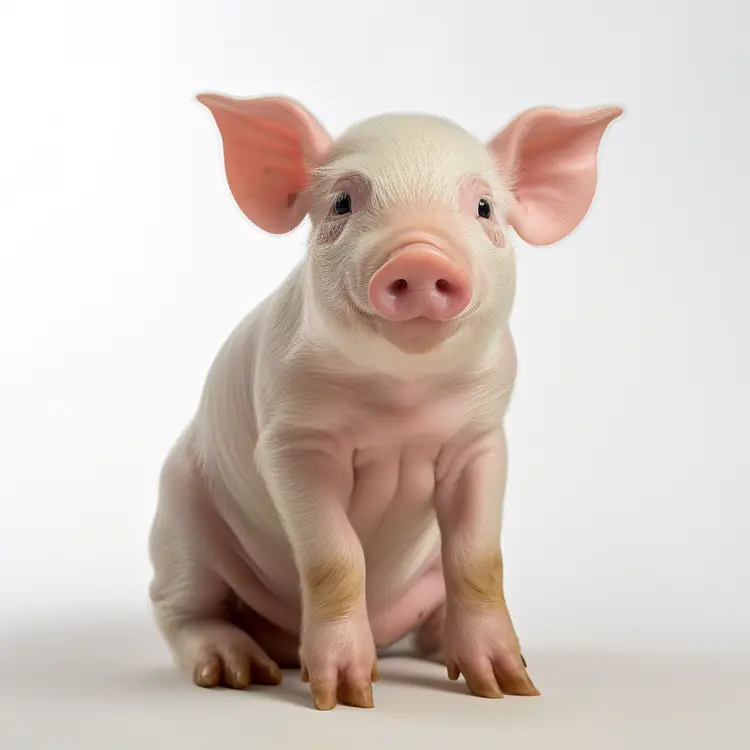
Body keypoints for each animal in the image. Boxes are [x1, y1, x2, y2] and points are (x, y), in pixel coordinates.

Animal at [148, 92, 622, 710]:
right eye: (342, 202)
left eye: (484, 208)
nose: (420, 258)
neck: (403, 403)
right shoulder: (291, 441)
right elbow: (334, 555)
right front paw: (347, 695)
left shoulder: (482, 442)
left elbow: (477, 558)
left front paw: (509, 686)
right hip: (179, 522)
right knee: (182, 610)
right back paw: (239, 670)